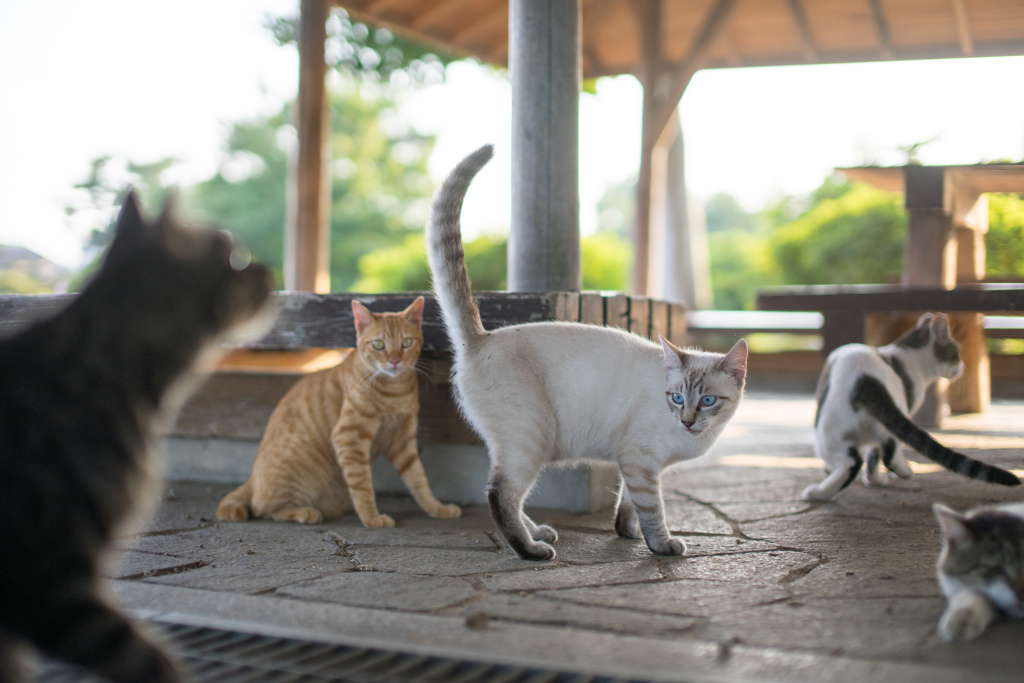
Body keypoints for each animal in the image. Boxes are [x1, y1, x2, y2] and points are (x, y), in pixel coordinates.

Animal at [216, 296, 460, 528]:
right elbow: (362, 486)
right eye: (378, 345)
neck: (395, 391)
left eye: (406, 342)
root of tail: (252, 478)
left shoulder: (402, 441)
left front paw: (437, 508)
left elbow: (419, 481)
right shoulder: (348, 437)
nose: (394, 360)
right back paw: (305, 513)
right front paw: (371, 518)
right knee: (263, 508)